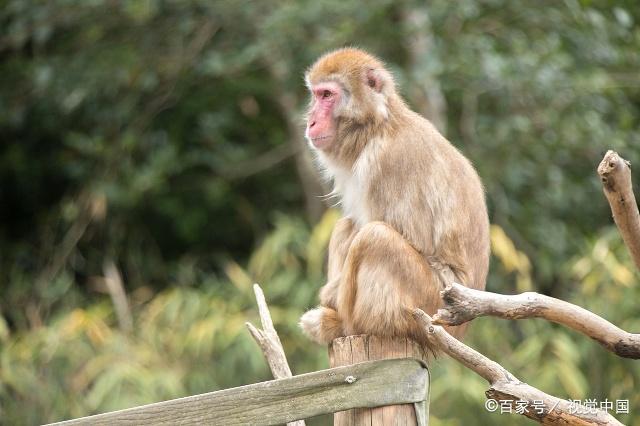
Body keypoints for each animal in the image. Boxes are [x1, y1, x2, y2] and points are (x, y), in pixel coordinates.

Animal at [300, 46, 490, 348]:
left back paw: (341, 325)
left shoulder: (386, 163)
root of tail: (460, 329)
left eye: (327, 95)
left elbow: (413, 238)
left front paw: (329, 295)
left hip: (429, 306)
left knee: (375, 237)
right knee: (349, 226)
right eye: (316, 95)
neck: (378, 127)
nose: (311, 120)